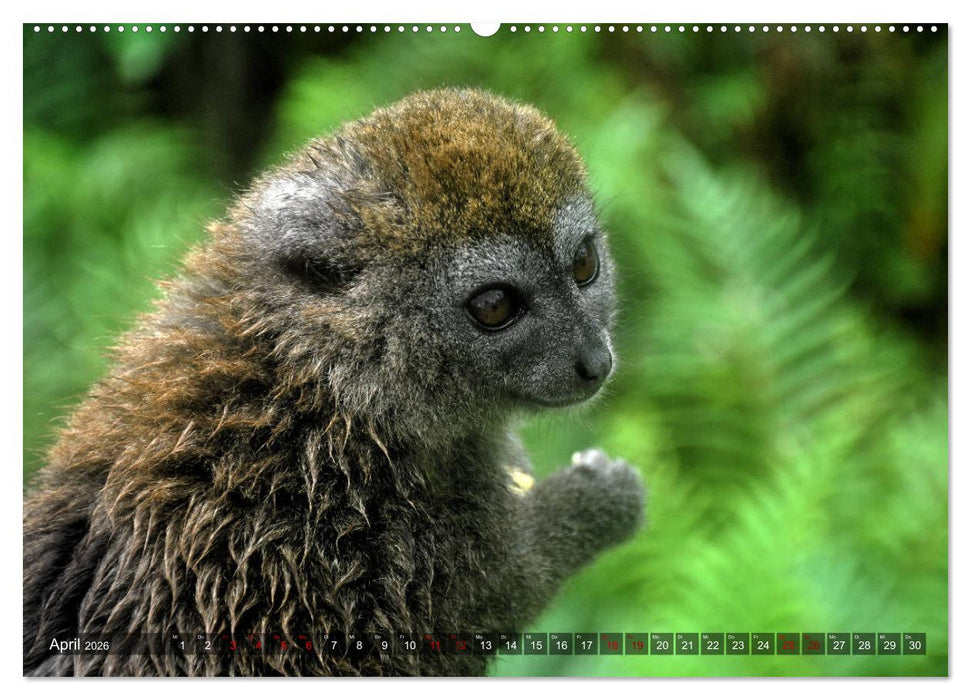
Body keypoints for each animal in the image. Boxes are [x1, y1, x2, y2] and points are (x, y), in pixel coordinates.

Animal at [23, 88, 645, 677]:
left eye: (584, 265)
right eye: (494, 306)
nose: (595, 361)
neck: (317, 376)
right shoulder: (361, 523)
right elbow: (500, 593)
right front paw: (596, 498)